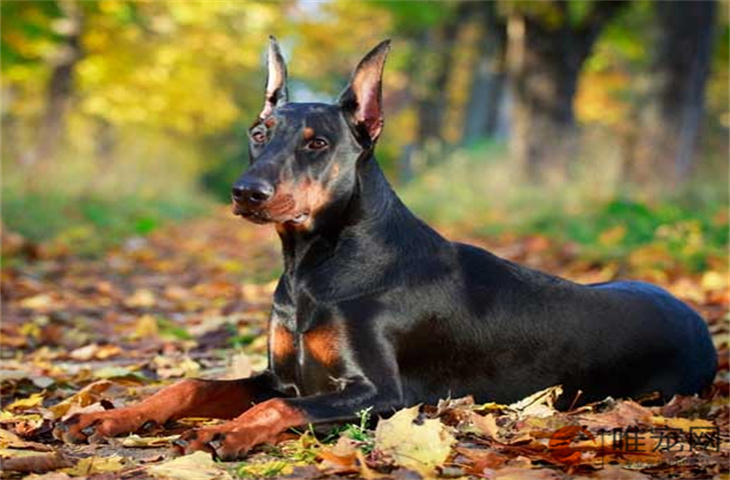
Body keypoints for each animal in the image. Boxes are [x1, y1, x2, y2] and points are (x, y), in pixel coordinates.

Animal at [52, 38, 716, 462]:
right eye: (259, 133)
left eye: (317, 143)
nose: (246, 192)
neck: (314, 267)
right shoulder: (281, 376)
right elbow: (188, 386)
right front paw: (105, 415)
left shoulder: (384, 396)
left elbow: (280, 412)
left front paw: (232, 433)